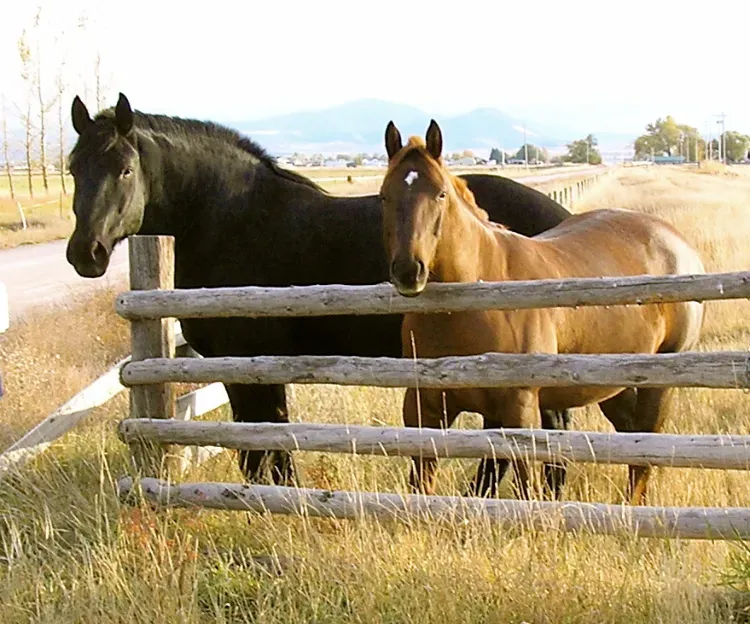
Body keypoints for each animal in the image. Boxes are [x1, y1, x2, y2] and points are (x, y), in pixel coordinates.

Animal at [66, 94, 580, 498]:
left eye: (125, 170)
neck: (230, 219)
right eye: (72, 168)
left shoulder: (250, 366)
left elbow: (264, 444)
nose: (85, 253)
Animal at [382, 119, 704, 504]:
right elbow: (422, 485)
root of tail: (676, 242)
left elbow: (525, 487)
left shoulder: (519, 411)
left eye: (441, 194)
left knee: (643, 454)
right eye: (384, 196)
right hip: (613, 383)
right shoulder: (424, 408)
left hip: (660, 384)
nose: (407, 270)